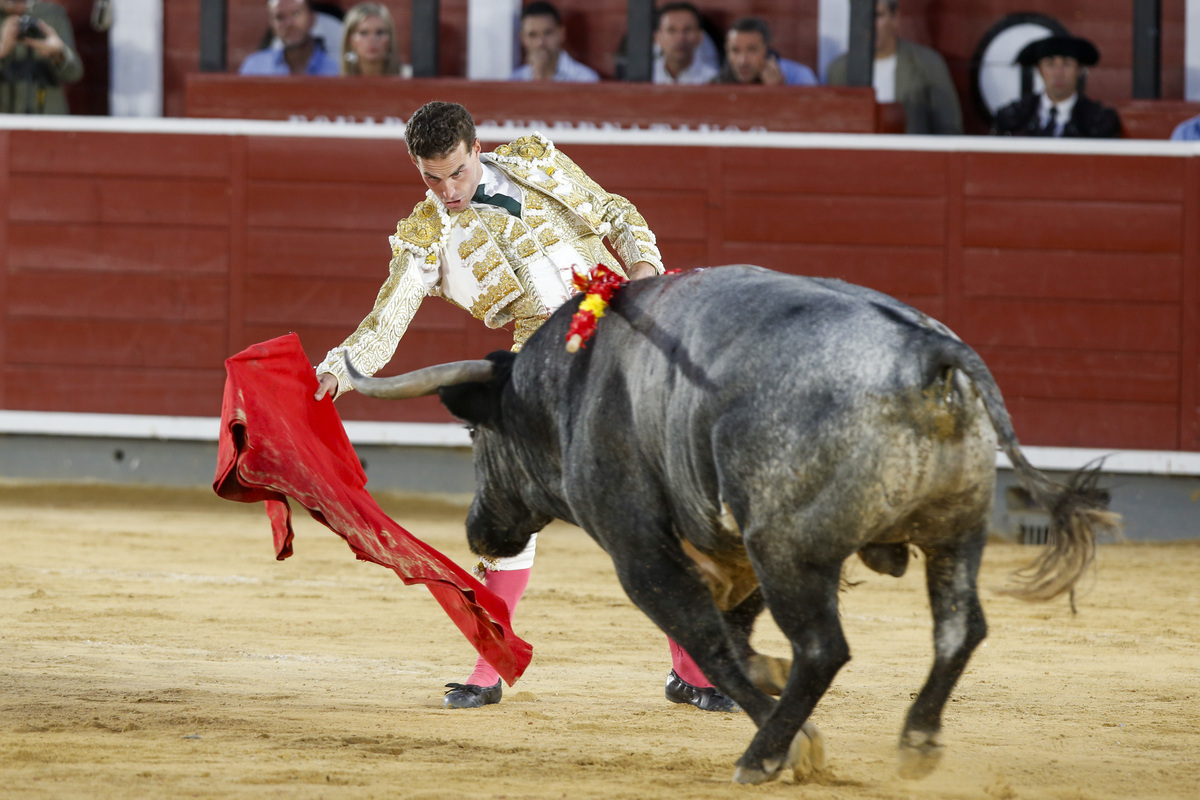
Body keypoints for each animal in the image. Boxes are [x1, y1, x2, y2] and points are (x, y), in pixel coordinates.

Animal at [343, 266, 1118, 786]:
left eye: (477, 435)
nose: (478, 533)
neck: (571, 383)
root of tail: (929, 354)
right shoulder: (731, 553)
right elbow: (736, 640)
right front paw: (764, 686)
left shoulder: (641, 552)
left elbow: (713, 642)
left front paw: (791, 737)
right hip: (954, 533)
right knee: (958, 629)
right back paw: (917, 740)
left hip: (789, 550)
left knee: (823, 649)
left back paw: (765, 754)